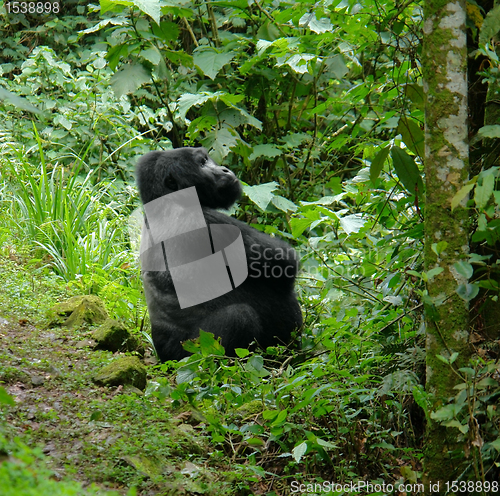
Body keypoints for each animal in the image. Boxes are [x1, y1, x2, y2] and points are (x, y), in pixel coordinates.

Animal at [135, 147, 302, 360]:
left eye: (207, 159)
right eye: (202, 162)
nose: (225, 170)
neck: (165, 201)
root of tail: (162, 355)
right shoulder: (206, 221)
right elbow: (285, 263)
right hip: (185, 353)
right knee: (238, 317)